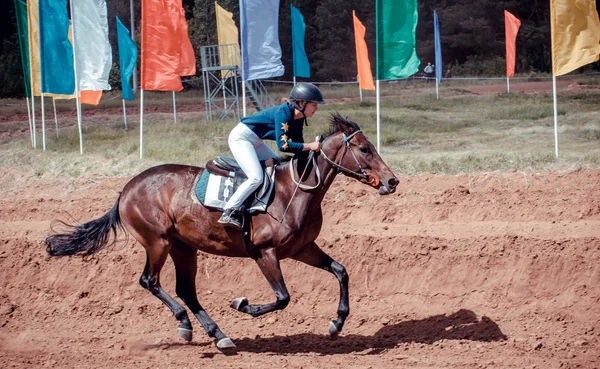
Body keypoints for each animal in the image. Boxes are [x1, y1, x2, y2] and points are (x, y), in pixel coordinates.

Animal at [44, 113, 396, 352]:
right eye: (364, 149)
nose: (392, 181)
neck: (293, 191)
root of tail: (126, 189)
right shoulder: (265, 252)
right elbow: (282, 298)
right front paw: (243, 304)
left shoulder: (302, 248)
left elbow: (341, 271)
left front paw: (337, 323)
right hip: (158, 241)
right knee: (150, 281)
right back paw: (186, 324)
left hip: (184, 247)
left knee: (186, 290)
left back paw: (218, 335)